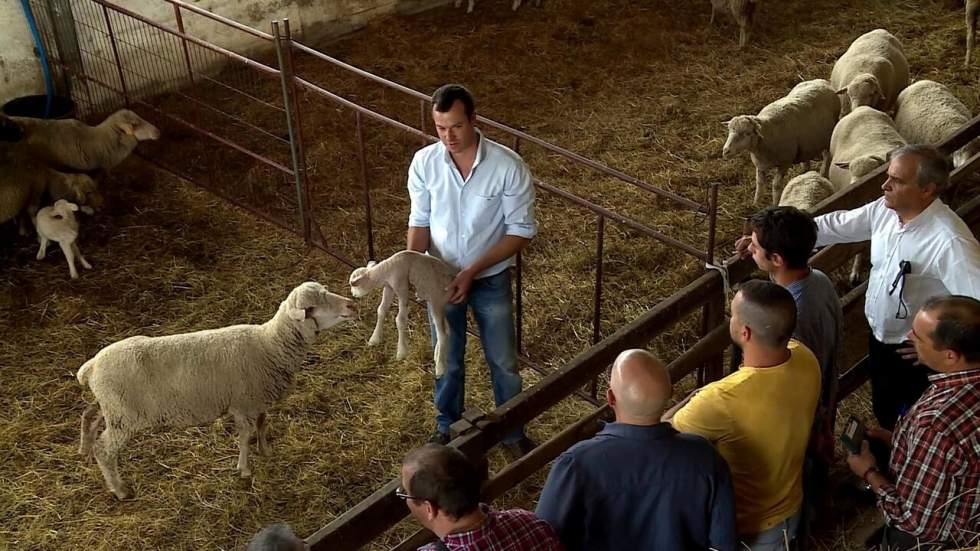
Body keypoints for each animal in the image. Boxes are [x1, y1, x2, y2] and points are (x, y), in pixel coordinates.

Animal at [74, 282, 356, 502]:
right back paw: (119, 489)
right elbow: (245, 437)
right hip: (125, 417)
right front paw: (244, 470)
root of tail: (91, 367)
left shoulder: (257, 401)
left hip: (112, 409)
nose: (352, 305)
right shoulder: (243, 405)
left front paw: (265, 451)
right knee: (105, 450)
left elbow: (262, 426)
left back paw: (84, 449)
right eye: (313, 307)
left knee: (89, 416)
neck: (269, 345)